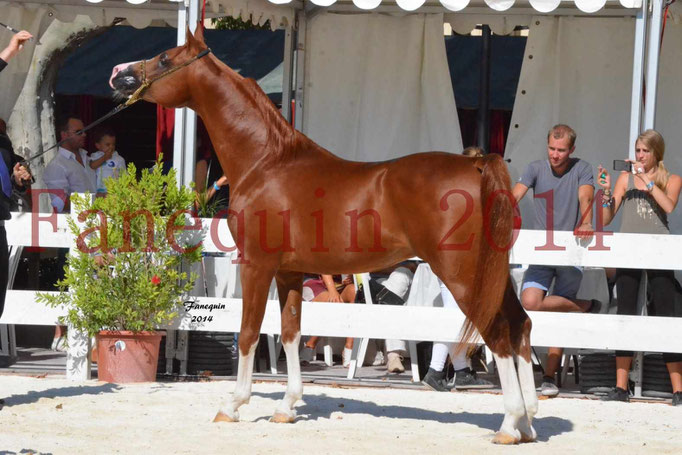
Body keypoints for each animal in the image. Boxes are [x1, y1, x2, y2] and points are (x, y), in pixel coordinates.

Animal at [110, 26, 536, 444]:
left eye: (165, 58)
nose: (117, 72)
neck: (267, 162)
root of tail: (476, 166)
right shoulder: (289, 272)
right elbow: (290, 333)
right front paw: (286, 407)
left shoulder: (256, 265)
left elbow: (248, 333)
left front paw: (233, 405)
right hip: (492, 276)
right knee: (521, 325)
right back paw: (528, 424)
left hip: (463, 275)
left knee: (498, 333)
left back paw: (508, 425)